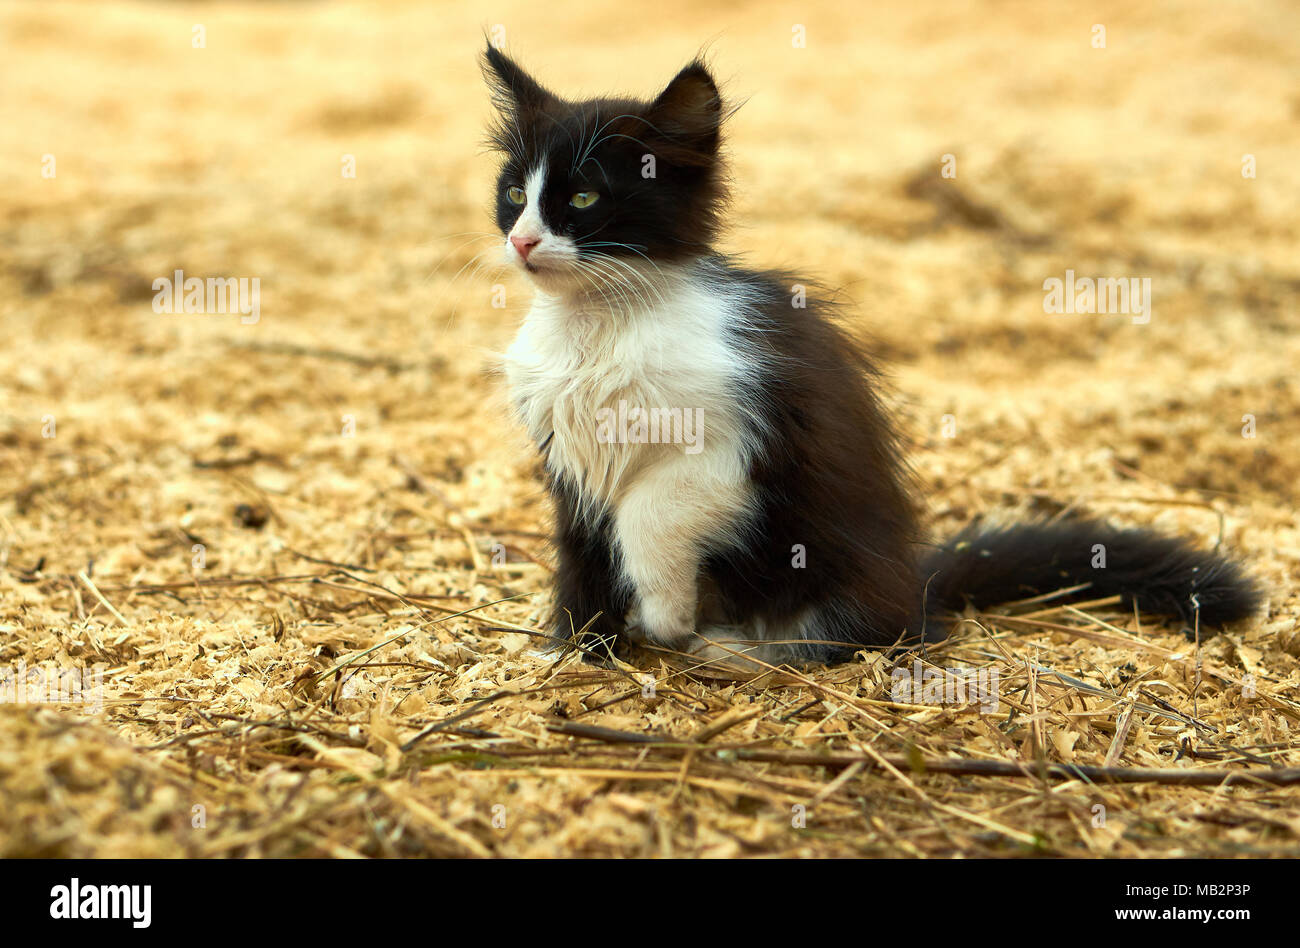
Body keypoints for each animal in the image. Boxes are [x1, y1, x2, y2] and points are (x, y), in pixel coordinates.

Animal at [480, 46, 1258, 665]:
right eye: (515, 192)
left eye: (584, 198)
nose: (522, 240)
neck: (598, 323)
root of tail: (912, 586)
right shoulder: (566, 456)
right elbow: (584, 552)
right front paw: (578, 652)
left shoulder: (728, 442)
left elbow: (647, 513)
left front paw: (665, 614)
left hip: (842, 575)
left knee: (861, 635)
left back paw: (732, 648)